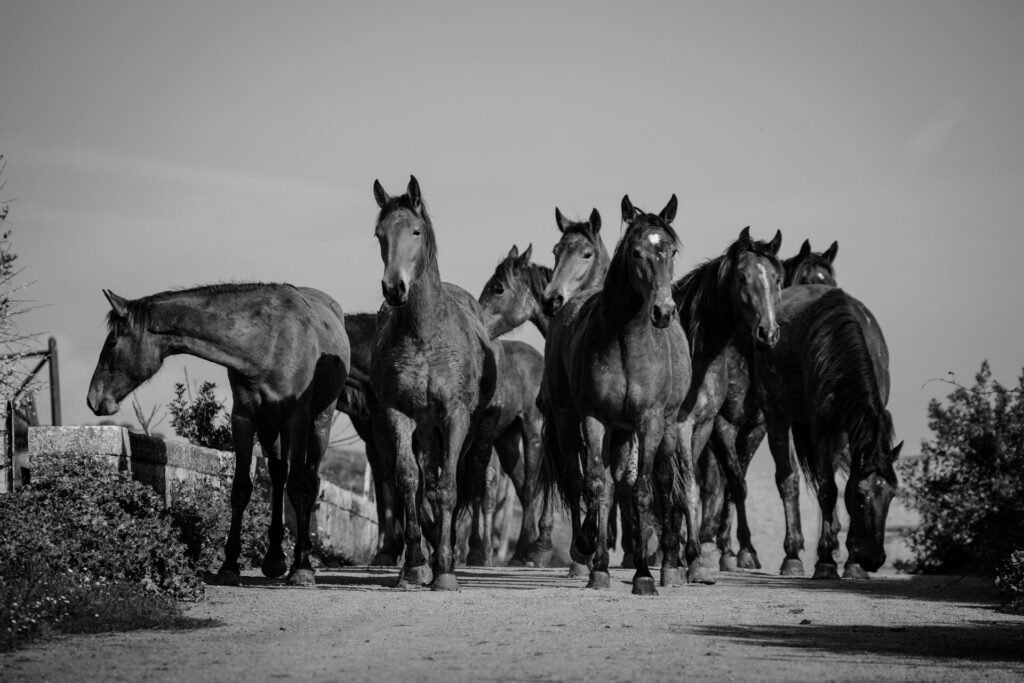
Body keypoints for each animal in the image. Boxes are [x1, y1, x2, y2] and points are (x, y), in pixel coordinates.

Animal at [83, 282, 350, 589]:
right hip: (270, 425)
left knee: (309, 480)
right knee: (278, 474)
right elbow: (241, 488)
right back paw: (274, 558)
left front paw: (302, 567)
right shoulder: (244, 417)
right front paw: (230, 564)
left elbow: (297, 487)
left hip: (319, 421)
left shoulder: (297, 418)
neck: (268, 341)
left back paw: (301, 554)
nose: (93, 398)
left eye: (112, 342)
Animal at [370, 176, 497, 593]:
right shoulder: (398, 413)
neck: (425, 333)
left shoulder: (456, 417)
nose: (394, 288)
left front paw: (444, 568)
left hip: (461, 430)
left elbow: (449, 488)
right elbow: (408, 480)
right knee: (426, 482)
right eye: (379, 235)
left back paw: (449, 550)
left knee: (450, 484)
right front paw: (414, 564)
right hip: (426, 429)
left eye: (416, 231)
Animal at [544, 193, 688, 593]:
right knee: (582, 479)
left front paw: (643, 573)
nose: (663, 311)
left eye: (671, 250)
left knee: (661, 482)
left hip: (662, 428)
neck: (627, 342)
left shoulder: (650, 422)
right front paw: (598, 564)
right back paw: (587, 551)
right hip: (574, 420)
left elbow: (642, 489)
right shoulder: (594, 419)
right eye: (636, 252)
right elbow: (596, 483)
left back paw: (668, 565)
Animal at [753, 286, 905, 581]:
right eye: (860, 496)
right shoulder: (822, 427)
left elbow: (838, 485)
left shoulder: (851, 430)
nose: (874, 559)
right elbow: (827, 490)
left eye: (892, 494)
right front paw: (825, 562)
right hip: (777, 415)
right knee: (788, 481)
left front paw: (852, 563)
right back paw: (793, 556)